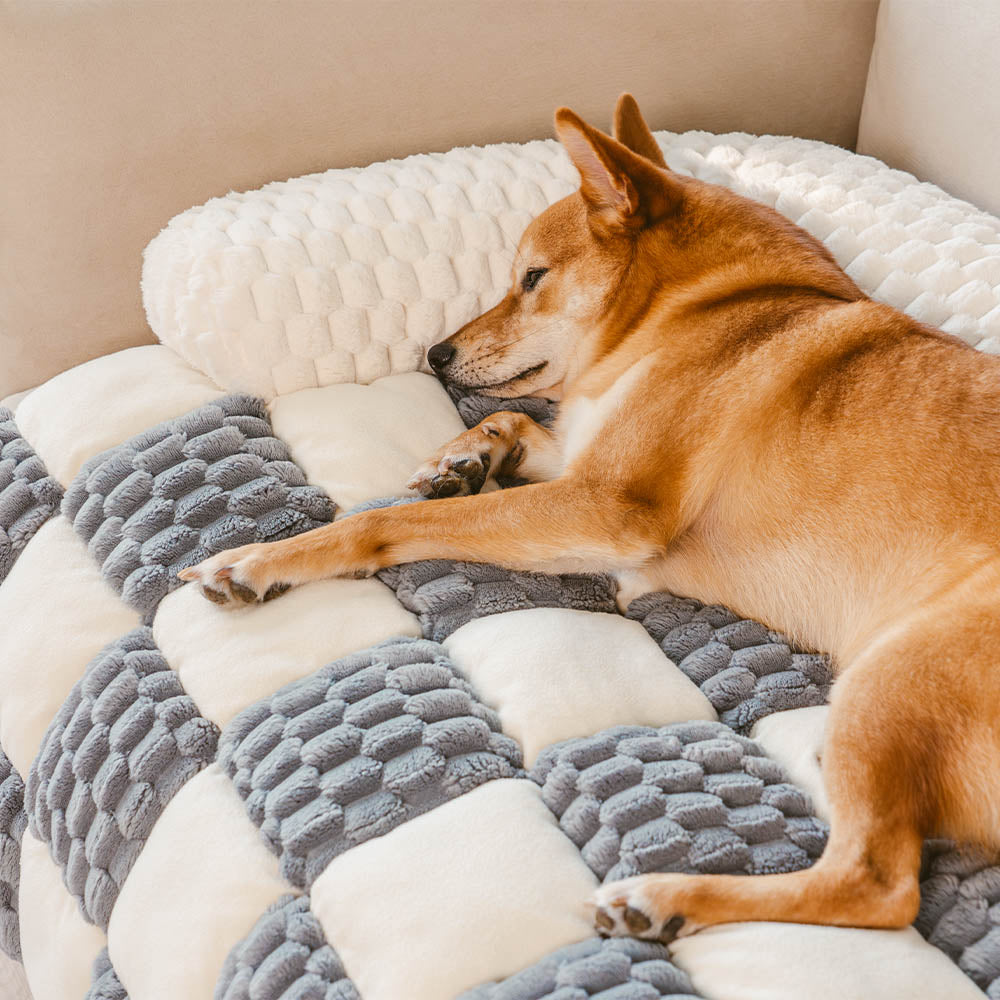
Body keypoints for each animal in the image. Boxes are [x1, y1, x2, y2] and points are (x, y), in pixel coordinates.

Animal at [180, 94, 1000, 944]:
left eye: (531, 279)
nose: (435, 354)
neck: (710, 306)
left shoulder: (606, 506)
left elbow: (381, 523)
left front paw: (258, 562)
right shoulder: (581, 465)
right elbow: (512, 421)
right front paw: (460, 461)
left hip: (892, 674)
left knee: (875, 886)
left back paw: (666, 895)